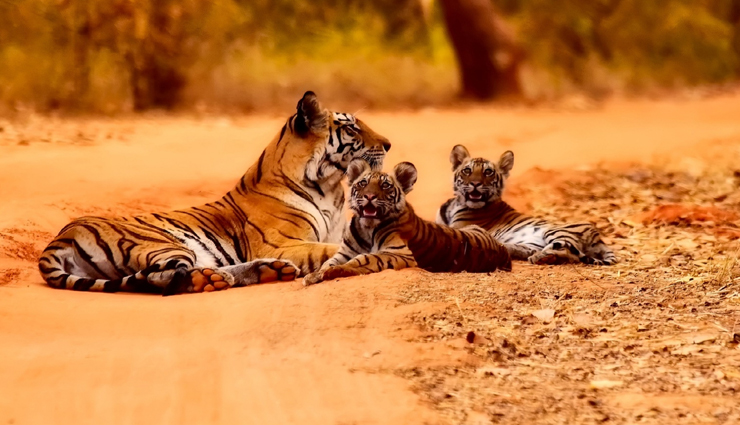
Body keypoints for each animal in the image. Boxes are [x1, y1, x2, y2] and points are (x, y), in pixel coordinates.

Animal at [38, 91, 392, 295]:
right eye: (351, 127)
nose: (388, 144)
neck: (330, 187)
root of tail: (61, 236)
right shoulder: (282, 243)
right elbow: (327, 250)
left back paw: (264, 272)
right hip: (162, 244)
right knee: (161, 278)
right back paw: (214, 280)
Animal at [303, 158, 512, 284]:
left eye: (385, 185)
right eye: (363, 183)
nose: (369, 196)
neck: (366, 228)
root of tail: (502, 250)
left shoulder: (400, 253)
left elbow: (364, 258)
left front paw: (333, 272)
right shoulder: (345, 251)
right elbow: (329, 262)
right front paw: (314, 275)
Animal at [436, 145, 617, 266]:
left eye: (488, 172)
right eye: (467, 170)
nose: (475, 183)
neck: (456, 204)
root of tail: (598, 237)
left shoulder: (460, 228)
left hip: (556, 231)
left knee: (568, 252)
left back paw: (541, 257)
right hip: (532, 242)